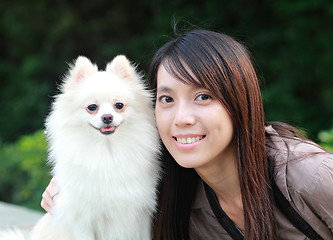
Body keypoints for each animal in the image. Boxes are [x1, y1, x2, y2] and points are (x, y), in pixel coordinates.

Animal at [0, 55, 161, 240]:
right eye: (92, 107)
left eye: (119, 105)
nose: (107, 117)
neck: (107, 150)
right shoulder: (83, 219)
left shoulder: (141, 216)